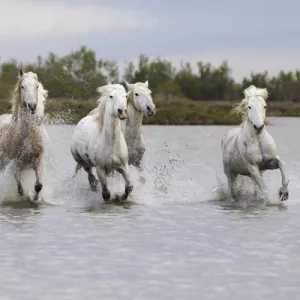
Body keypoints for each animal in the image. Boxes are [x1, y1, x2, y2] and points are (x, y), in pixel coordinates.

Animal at [0, 69, 46, 203]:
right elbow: (20, 189)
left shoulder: (38, 161)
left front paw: (35, 198)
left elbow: (38, 185)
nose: (32, 106)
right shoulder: (16, 164)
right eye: (22, 86)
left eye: (36, 86)